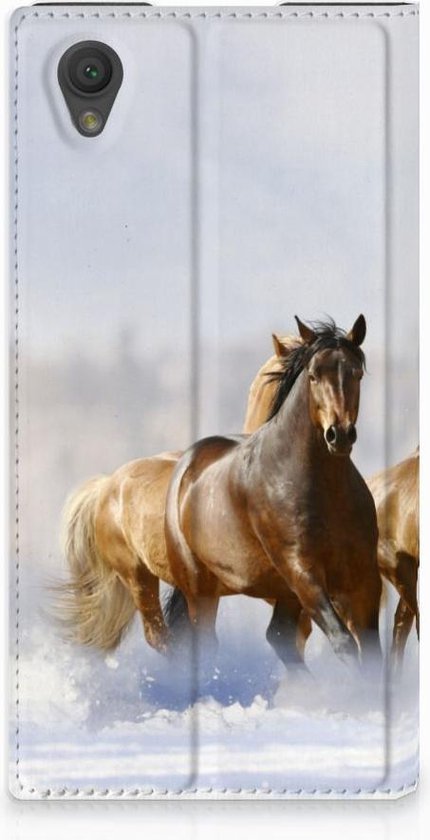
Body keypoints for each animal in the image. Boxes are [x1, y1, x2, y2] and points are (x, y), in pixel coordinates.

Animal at [164, 316, 382, 671]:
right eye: (313, 375)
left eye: (356, 373)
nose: (339, 435)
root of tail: (187, 465)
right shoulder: (303, 572)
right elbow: (344, 642)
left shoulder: (363, 577)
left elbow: (373, 652)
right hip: (201, 588)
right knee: (207, 642)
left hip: (281, 593)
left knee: (279, 636)